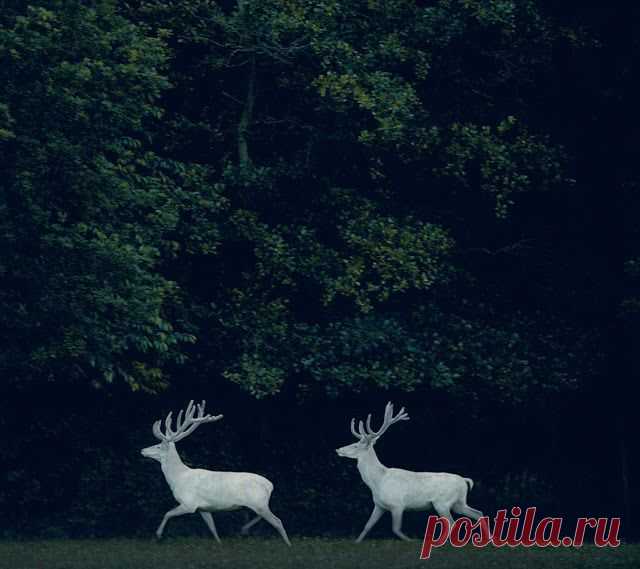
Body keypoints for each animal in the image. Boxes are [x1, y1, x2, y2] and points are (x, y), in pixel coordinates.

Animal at [140, 400, 291, 546]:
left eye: (158, 446)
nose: (142, 450)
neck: (178, 478)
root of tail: (270, 485)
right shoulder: (203, 508)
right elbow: (212, 527)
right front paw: (219, 543)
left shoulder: (189, 503)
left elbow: (167, 513)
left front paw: (158, 535)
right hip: (258, 504)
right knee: (262, 517)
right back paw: (244, 529)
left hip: (259, 503)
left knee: (277, 521)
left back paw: (288, 545)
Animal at [336, 402, 483, 542]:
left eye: (355, 445)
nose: (338, 449)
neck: (378, 481)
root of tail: (464, 481)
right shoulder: (379, 505)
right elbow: (367, 526)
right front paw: (356, 542)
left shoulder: (397, 504)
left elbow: (396, 529)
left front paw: (411, 540)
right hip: (459, 503)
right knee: (478, 513)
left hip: (442, 503)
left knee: (452, 523)